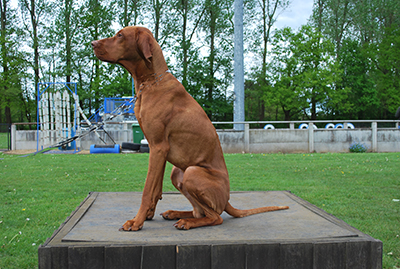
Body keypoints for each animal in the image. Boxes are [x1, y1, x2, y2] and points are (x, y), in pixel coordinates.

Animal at [92, 26, 290, 229]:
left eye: (120, 35)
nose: (92, 43)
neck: (151, 81)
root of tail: (227, 200)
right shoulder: (158, 150)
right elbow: (156, 189)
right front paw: (147, 215)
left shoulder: (158, 146)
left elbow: (147, 190)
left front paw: (136, 221)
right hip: (177, 171)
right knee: (199, 212)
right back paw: (177, 214)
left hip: (192, 171)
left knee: (215, 217)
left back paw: (186, 221)